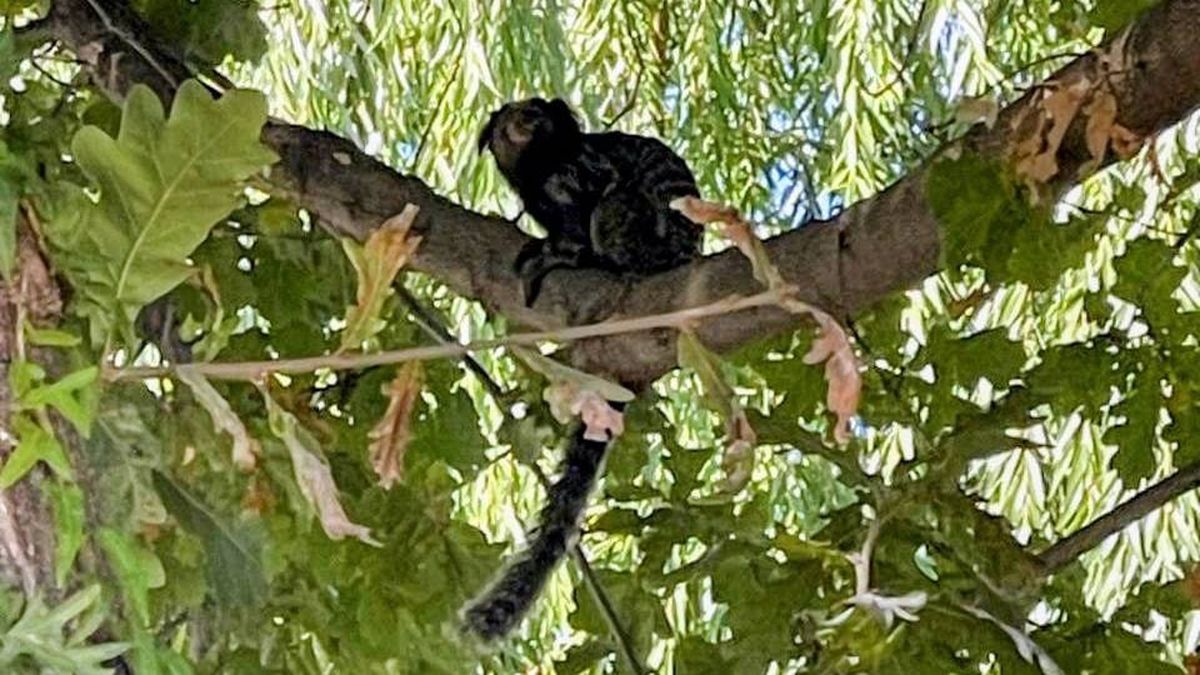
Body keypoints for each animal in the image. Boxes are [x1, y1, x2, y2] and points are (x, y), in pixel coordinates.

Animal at [461, 98, 702, 641]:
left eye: (537, 112)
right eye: (514, 113)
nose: (527, 119)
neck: (540, 165)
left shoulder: (579, 167)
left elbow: (597, 192)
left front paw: (564, 252)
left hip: (651, 239)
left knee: (616, 206)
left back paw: (599, 258)